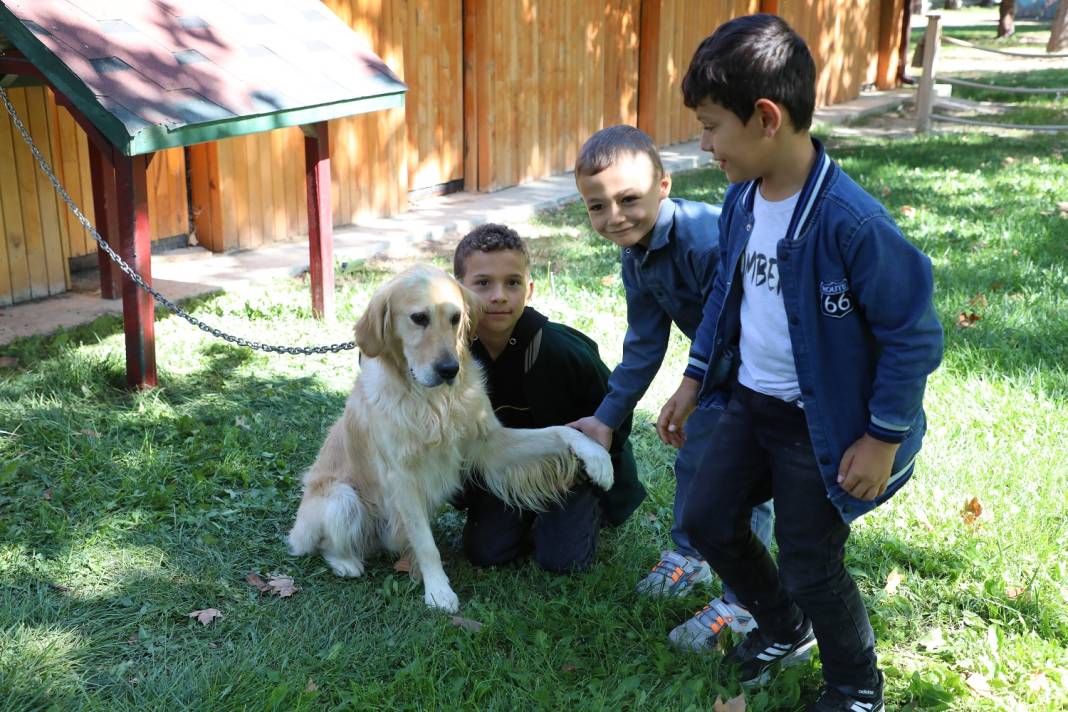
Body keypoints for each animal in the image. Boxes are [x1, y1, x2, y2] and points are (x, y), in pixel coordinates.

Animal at [288, 264, 615, 610]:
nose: (449, 370)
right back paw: (346, 563)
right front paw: (438, 590)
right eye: (419, 318)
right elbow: (425, 544)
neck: (431, 401)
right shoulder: (401, 477)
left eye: (456, 317)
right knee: (327, 544)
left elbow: (559, 430)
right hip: (341, 497)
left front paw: (597, 456)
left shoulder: (490, 442)